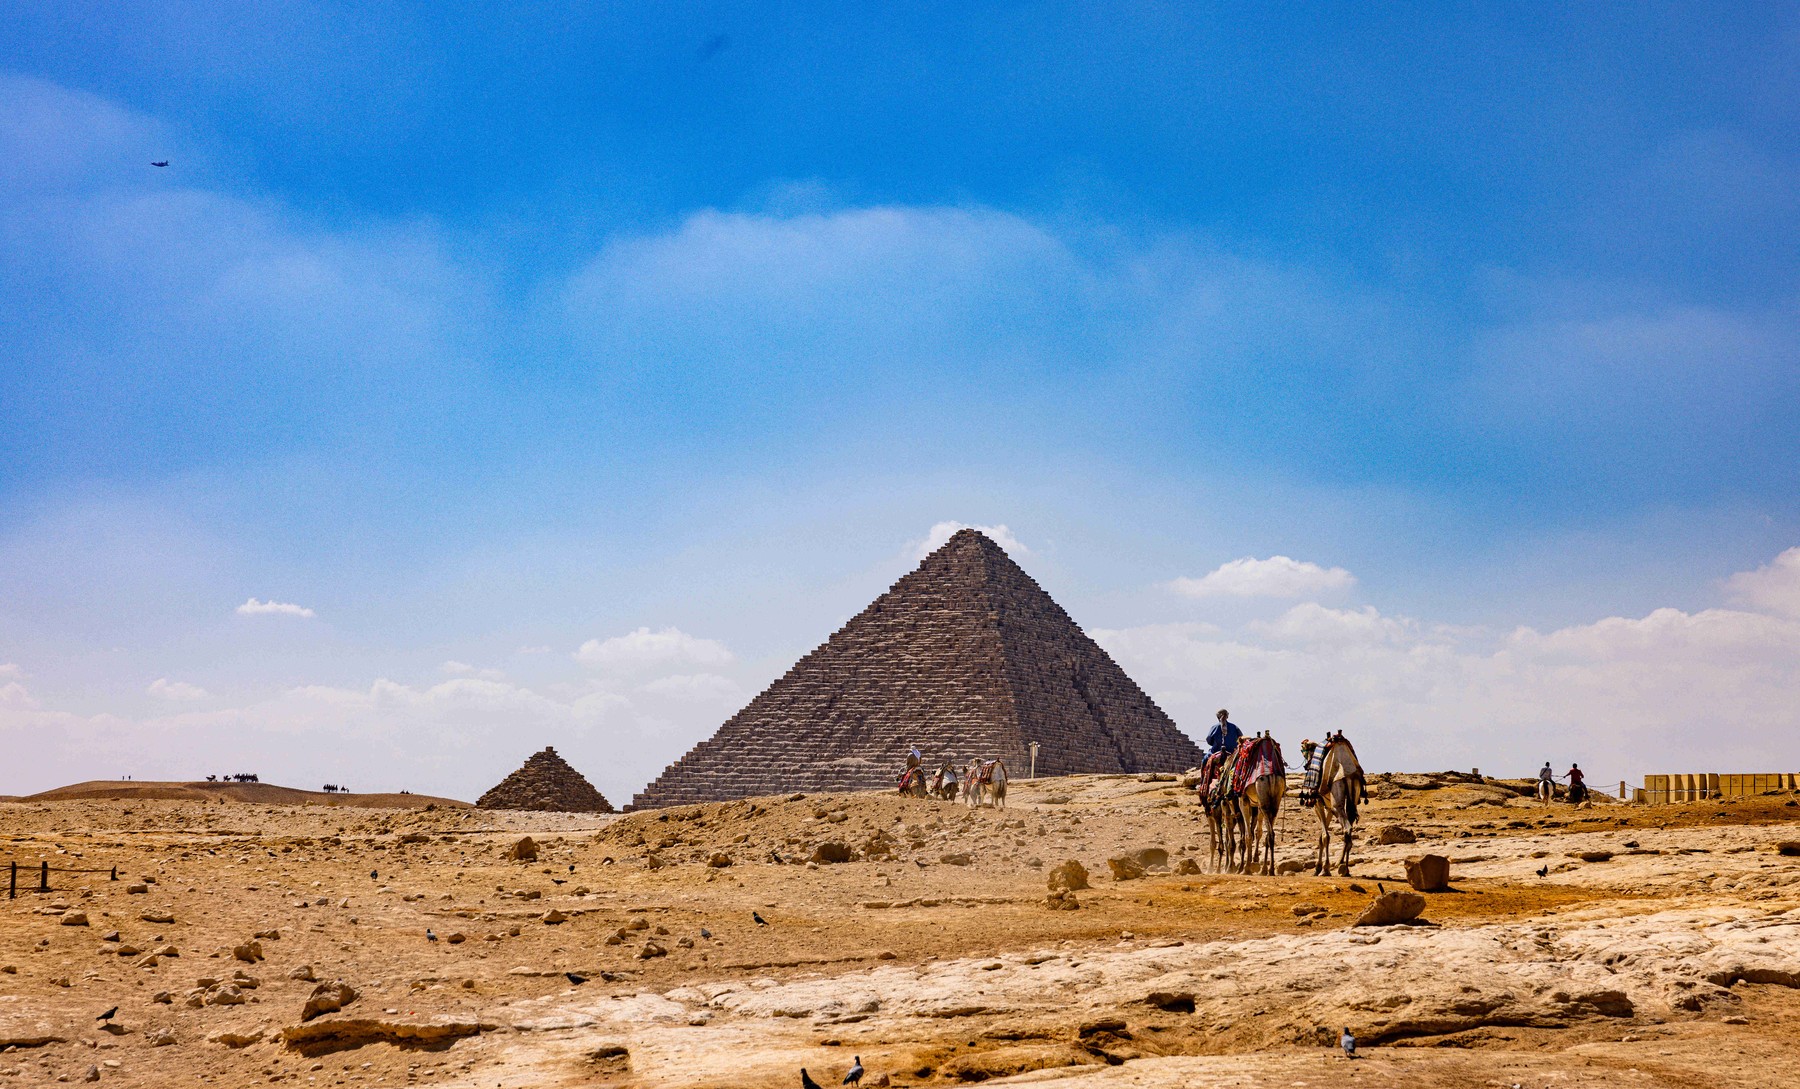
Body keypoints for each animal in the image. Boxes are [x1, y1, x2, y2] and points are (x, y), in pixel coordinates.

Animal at [1317, 730, 1368, 874]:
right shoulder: (1327, 805)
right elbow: (1323, 835)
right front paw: (1321, 867)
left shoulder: (1319, 803)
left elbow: (1325, 836)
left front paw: (1322, 868)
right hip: (1353, 790)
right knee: (1349, 826)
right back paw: (1345, 868)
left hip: (1337, 795)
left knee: (1346, 827)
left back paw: (1341, 867)